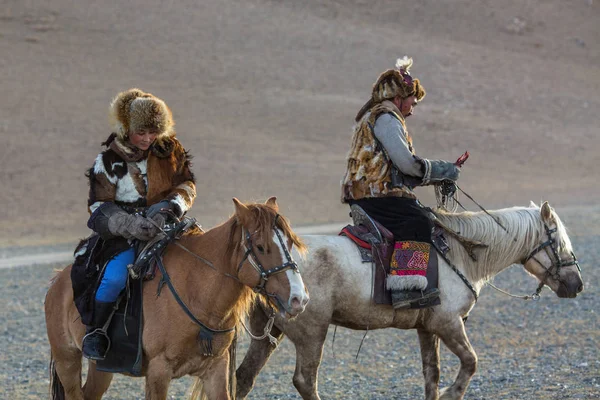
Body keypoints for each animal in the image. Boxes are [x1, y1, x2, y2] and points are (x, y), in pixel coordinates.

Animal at [43, 198, 310, 400]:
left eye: (289, 242)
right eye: (261, 246)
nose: (299, 299)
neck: (197, 293)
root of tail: (57, 281)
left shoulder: (216, 368)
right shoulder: (159, 371)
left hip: (102, 366)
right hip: (67, 360)